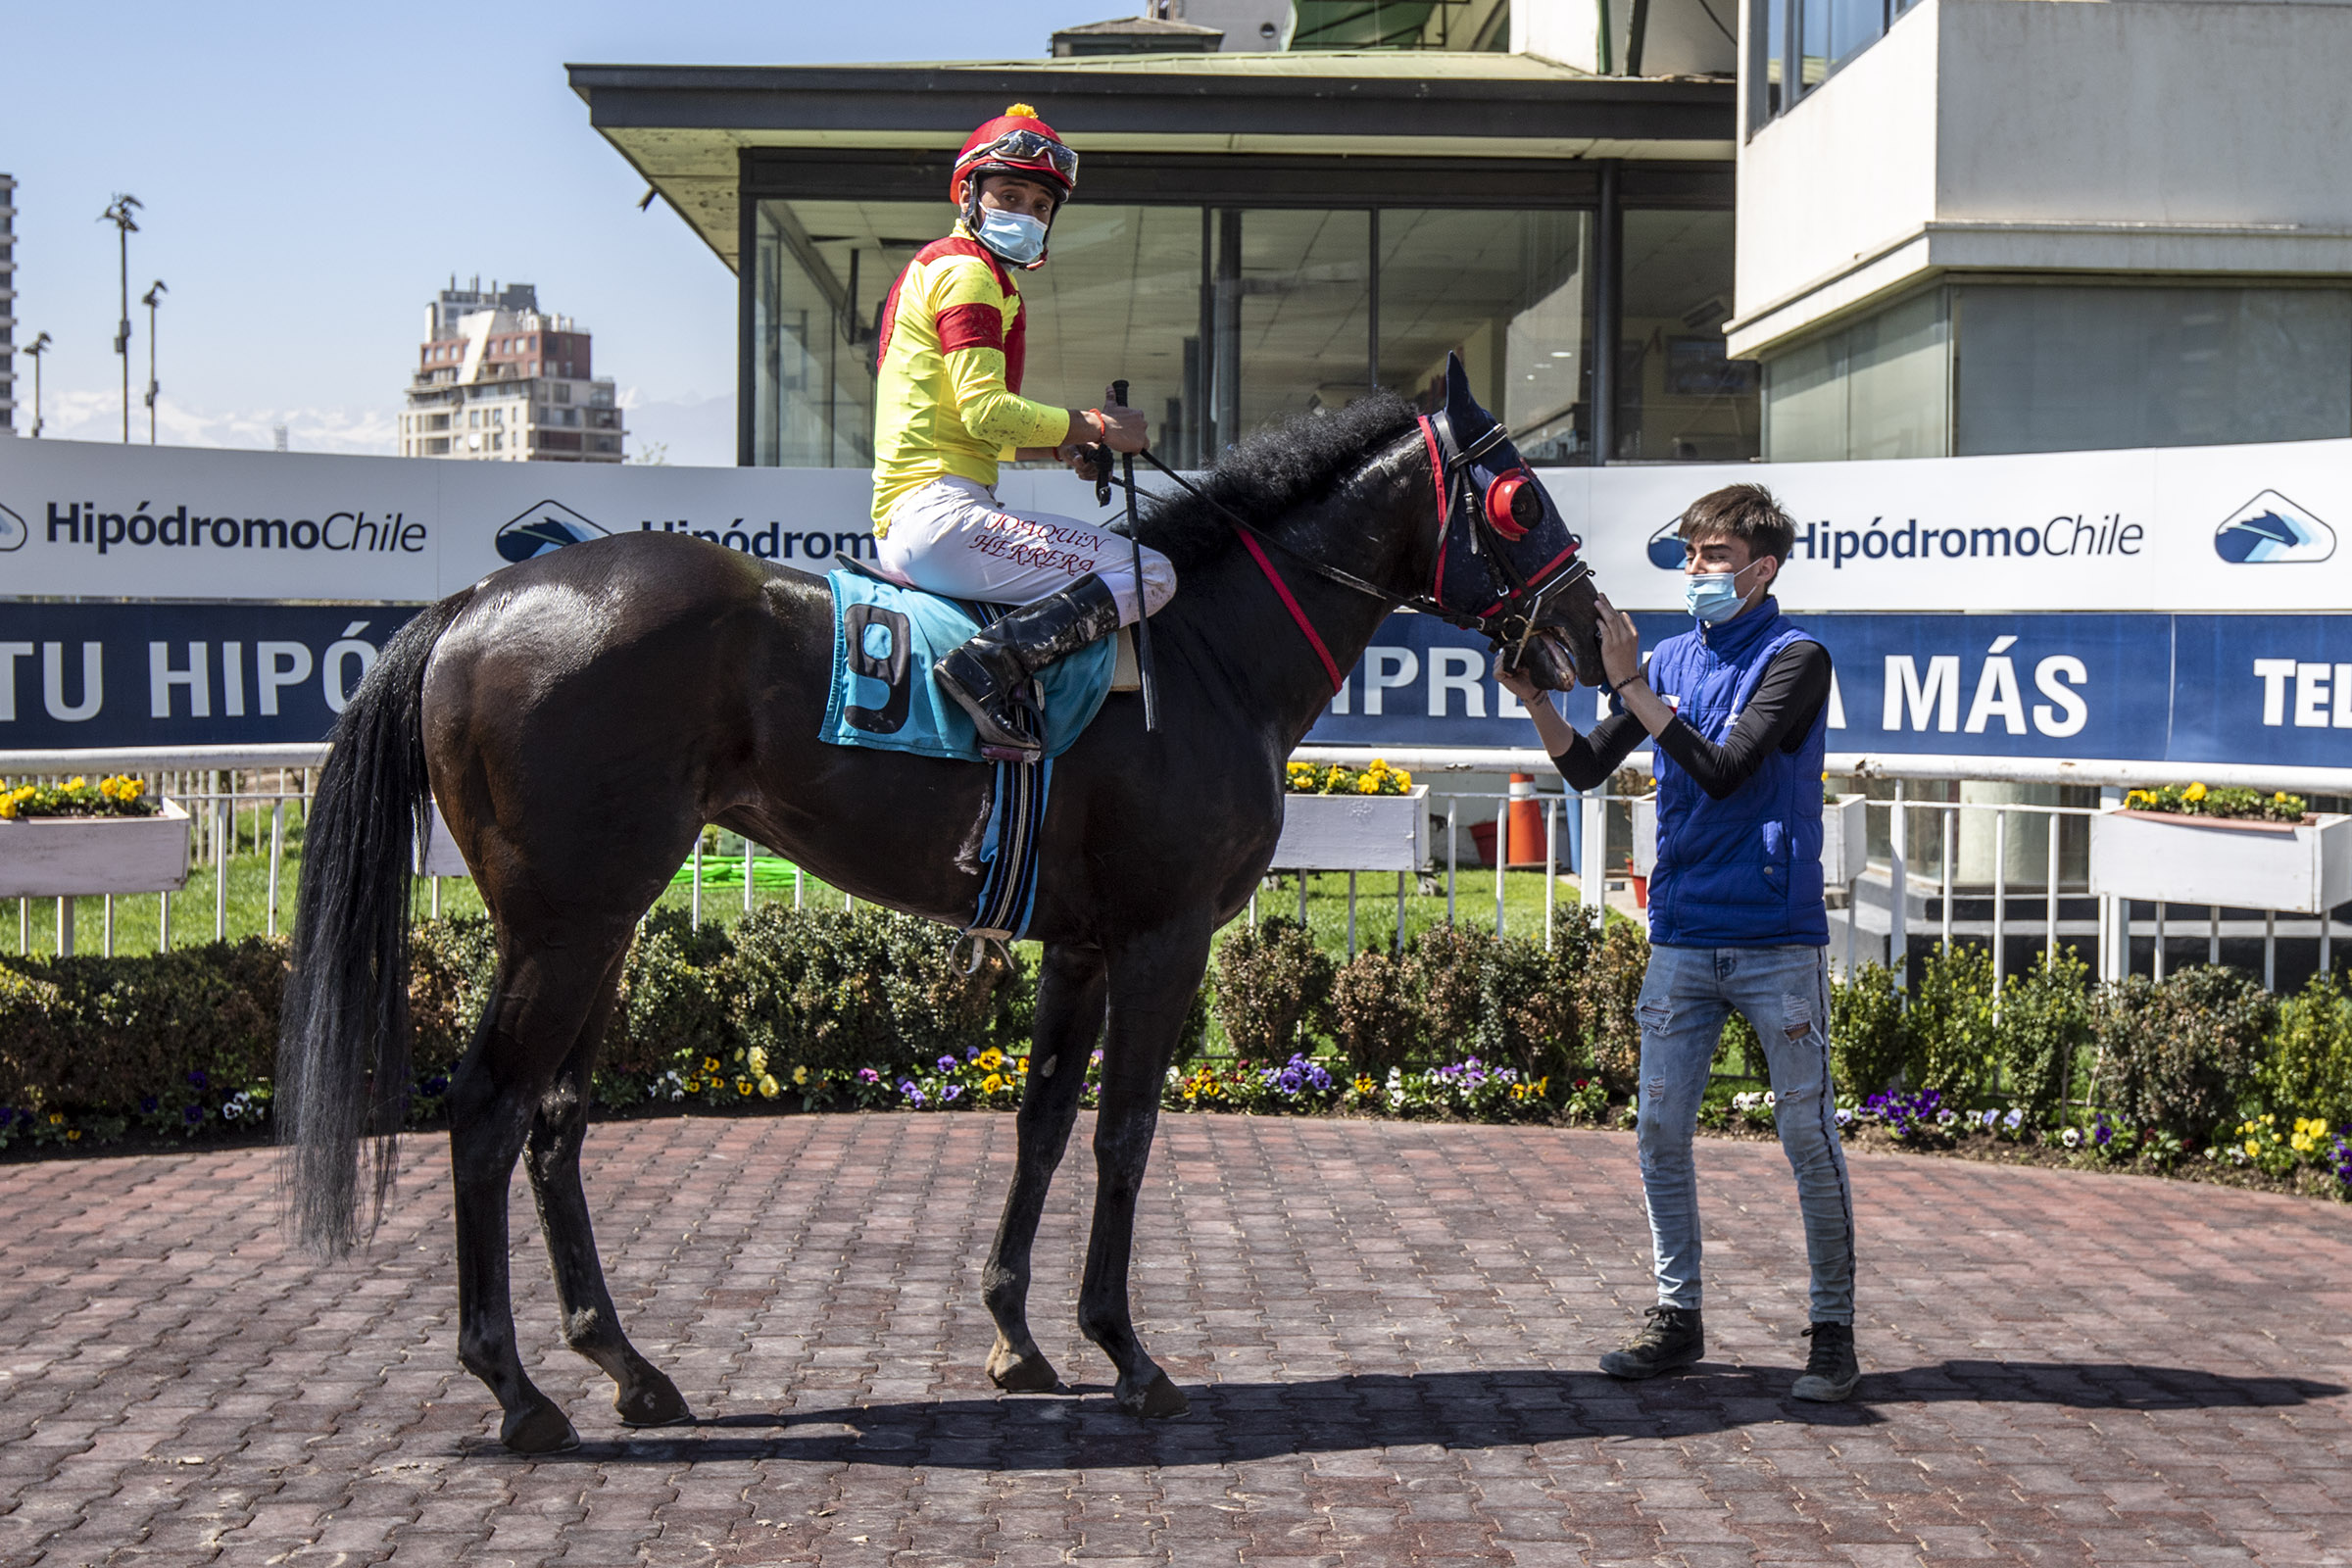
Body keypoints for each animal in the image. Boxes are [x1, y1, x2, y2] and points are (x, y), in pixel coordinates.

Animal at [276, 377, 1605, 1455]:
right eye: (1522, 501)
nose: (1593, 630)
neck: (1207, 655)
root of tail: (475, 602)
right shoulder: (1165, 936)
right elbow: (1125, 1135)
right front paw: (1127, 1350)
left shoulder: (1080, 944)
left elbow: (1045, 1124)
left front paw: (1020, 1335)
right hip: (568, 924)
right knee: (488, 1112)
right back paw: (515, 1390)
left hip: (596, 926)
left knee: (554, 1123)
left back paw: (629, 1368)